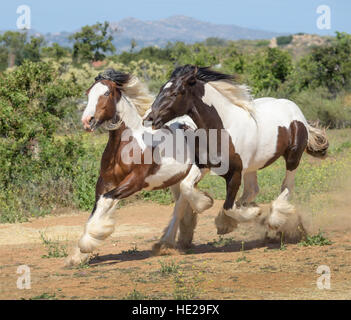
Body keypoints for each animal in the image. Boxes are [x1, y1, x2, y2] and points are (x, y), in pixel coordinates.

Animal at [66, 70, 214, 268]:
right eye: (88, 93)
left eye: (106, 93)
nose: (87, 121)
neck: (127, 144)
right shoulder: (105, 182)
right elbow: (98, 208)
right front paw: (77, 256)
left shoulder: (134, 182)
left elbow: (106, 201)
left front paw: (86, 244)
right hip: (175, 179)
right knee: (183, 201)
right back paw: (183, 239)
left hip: (196, 172)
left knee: (182, 202)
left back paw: (166, 242)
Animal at [146, 65, 330, 240]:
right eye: (161, 89)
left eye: (175, 93)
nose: (149, 118)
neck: (224, 128)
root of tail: (298, 113)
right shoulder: (204, 165)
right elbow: (186, 186)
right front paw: (207, 204)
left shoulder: (235, 173)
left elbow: (228, 206)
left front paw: (251, 214)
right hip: (253, 166)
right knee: (252, 190)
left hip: (293, 157)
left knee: (286, 186)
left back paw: (273, 220)